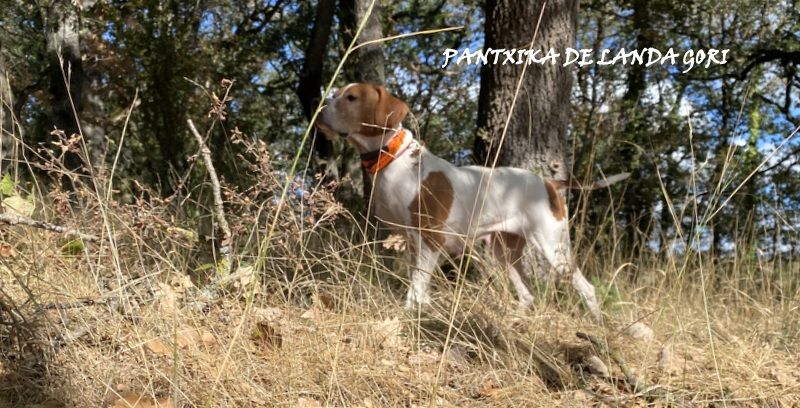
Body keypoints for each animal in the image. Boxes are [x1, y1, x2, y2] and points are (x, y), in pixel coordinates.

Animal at [314, 82, 620, 318]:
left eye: (351, 97)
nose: (320, 108)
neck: (394, 159)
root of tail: (549, 183)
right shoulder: (414, 244)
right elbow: (420, 287)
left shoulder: (430, 239)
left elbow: (415, 290)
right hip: (505, 253)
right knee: (528, 294)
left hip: (553, 248)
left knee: (586, 288)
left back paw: (597, 325)